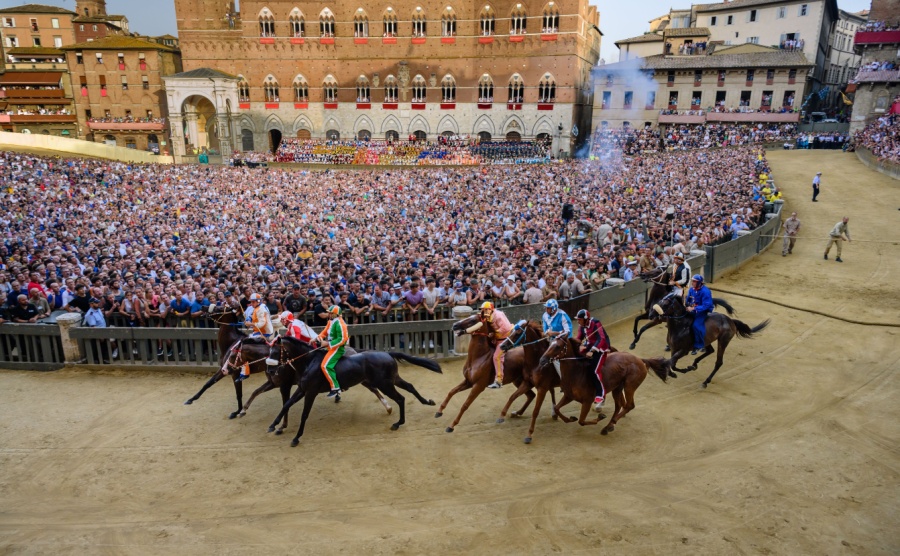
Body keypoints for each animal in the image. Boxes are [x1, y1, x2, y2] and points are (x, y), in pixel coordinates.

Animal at [268, 338, 442, 448]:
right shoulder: (302, 389)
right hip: (392, 380)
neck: (309, 362)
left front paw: (296, 438)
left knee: (400, 398)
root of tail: (387, 353)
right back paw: (427, 402)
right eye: (269, 352)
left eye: (275, 352)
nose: (270, 371)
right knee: (409, 388)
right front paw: (273, 426)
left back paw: (398, 423)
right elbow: (286, 405)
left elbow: (304, 414)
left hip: (385, 384)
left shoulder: (311, 392)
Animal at [536, 336, 672, 436]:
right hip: (617, 388)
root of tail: (640, 360)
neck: (577, 372)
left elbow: (582, 421)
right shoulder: (569, 396)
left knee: (629, 405)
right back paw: (609, 425)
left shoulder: (587, 401)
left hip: (629, 386)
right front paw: (570, 418)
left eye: (558, 346)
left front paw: (600, 417)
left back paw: (610, 424)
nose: (542, 360)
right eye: (549, 344)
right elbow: (557, 409)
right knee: (620, 406)